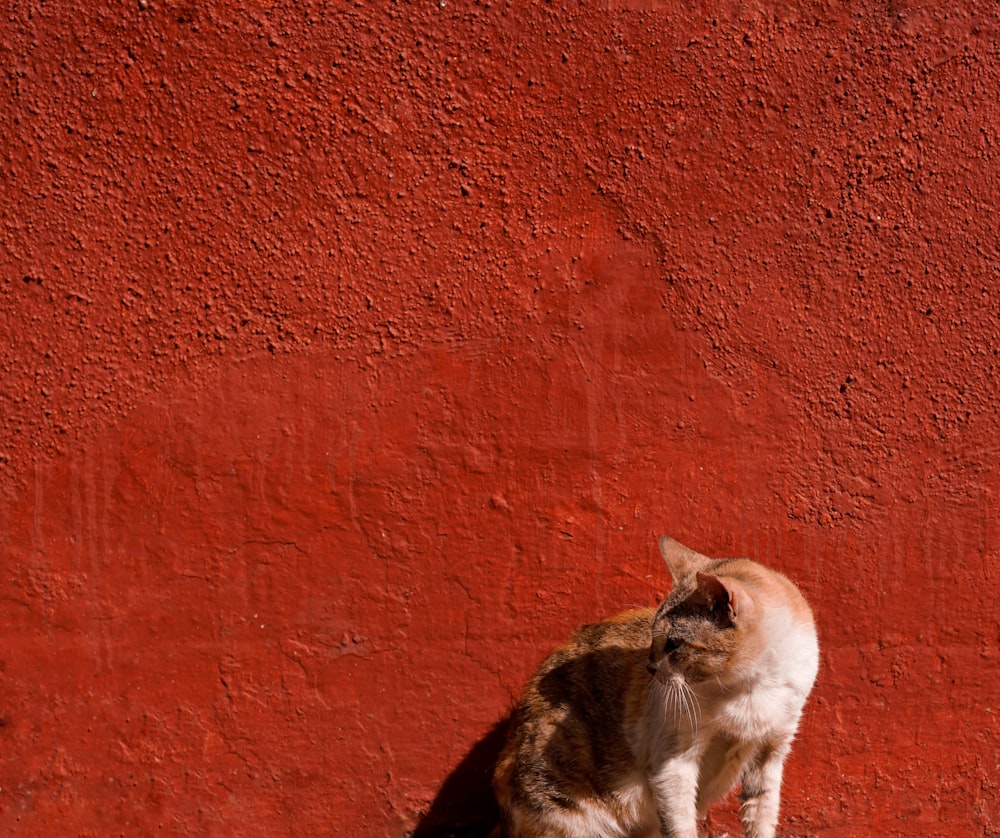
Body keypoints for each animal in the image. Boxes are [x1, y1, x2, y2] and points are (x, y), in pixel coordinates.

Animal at [492, 540, 820, 838]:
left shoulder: (772, 750)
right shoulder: (673, 762)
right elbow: (680, 825)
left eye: (673, 644)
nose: (650, 667)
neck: (750, 690)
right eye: (653, 636)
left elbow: (761, 816)